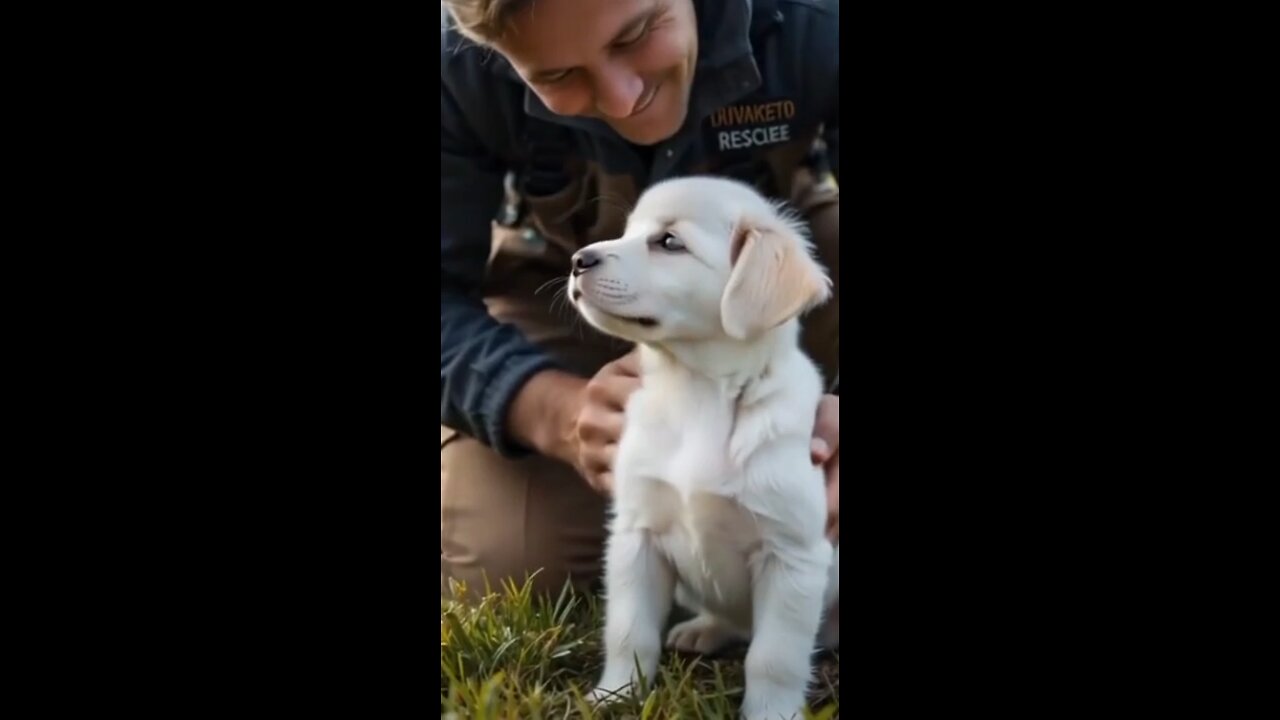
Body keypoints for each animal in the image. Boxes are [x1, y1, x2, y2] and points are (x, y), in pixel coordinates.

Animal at [570, 175, 839, 717]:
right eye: (628, 231)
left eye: (669, 242)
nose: (577, 260)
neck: (697, 393)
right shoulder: (636, 537)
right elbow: (629, 631)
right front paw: (615, 694)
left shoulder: (793, 556)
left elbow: (773, 659)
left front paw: (770, 713)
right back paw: (703, 630)